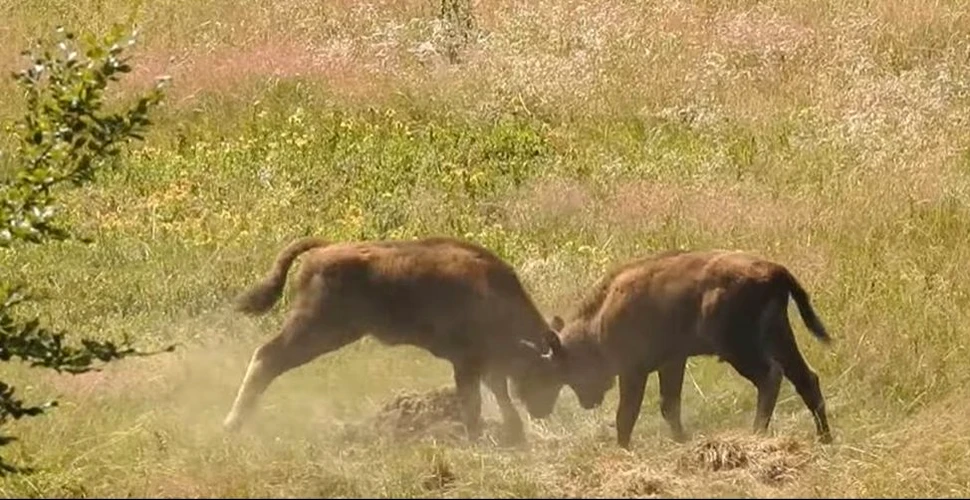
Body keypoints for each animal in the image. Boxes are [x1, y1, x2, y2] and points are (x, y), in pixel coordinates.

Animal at [221, 234, 560, 442]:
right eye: (544, 374)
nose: (543, 410)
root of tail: (324, 250)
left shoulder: (483, 362)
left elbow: (497, 391)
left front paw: (514, 434)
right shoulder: (467, 362)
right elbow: (474, 400)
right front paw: (476, 435)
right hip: (314, 330)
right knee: (267, 357)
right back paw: (231, 425)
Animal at [536, 250, 832, 450]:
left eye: (569, 369)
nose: (588, 401)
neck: (600, 317)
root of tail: (775, 271)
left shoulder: (633, 371)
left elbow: (627, 413)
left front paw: (623, 448)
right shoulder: (672, 363)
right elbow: (670, 405)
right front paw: (681, 439)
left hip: (738, 348)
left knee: (770, 376)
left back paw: (757, 432)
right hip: (780, 338)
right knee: (806, 379)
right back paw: (824, 438)